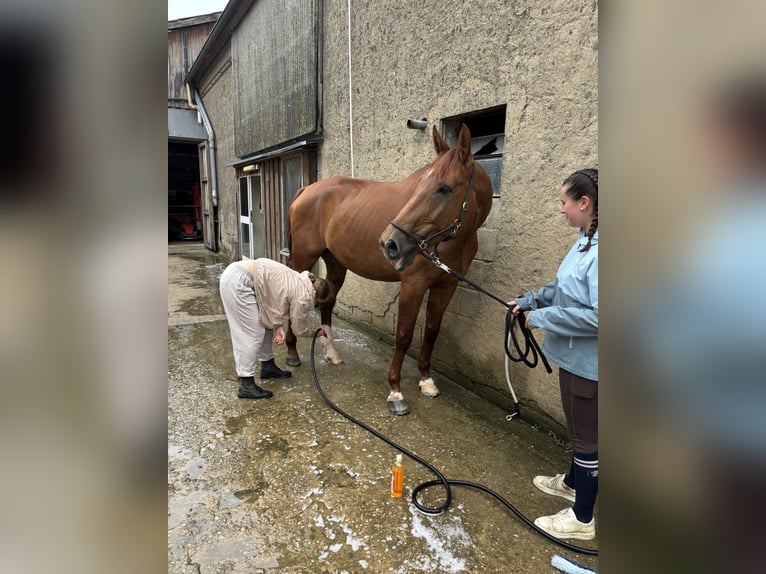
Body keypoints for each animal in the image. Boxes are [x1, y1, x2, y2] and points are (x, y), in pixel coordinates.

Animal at [284, 126, 496, 416]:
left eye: (444, 188)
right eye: (419, 185)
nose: (389, 243)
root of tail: (306, 190)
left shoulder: (446, 285)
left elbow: (432, 330)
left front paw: (426, 381)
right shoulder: (413, 284)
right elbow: (404, 335)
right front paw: (395, 391)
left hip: (337, 263)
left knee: (328, 303)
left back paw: (332, 354)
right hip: (304, 259)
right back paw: (292, 354)